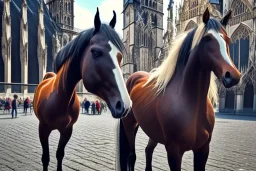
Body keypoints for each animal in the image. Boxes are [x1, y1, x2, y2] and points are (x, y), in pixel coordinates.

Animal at [33, 8, 132, 171]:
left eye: (119, 56)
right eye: (96, 52)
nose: (124, 105)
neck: (60, 98)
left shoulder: (67, 131)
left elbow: (59, 154)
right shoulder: (43, 129)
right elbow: (45, 158)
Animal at [117, 8, 241, 171]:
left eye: (227, 39)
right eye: (207, 38)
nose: (233, 75)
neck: (192, 106)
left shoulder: (203, 150)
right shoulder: (174, 151)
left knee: (148, 151)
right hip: (129, 125)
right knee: (131, 156)